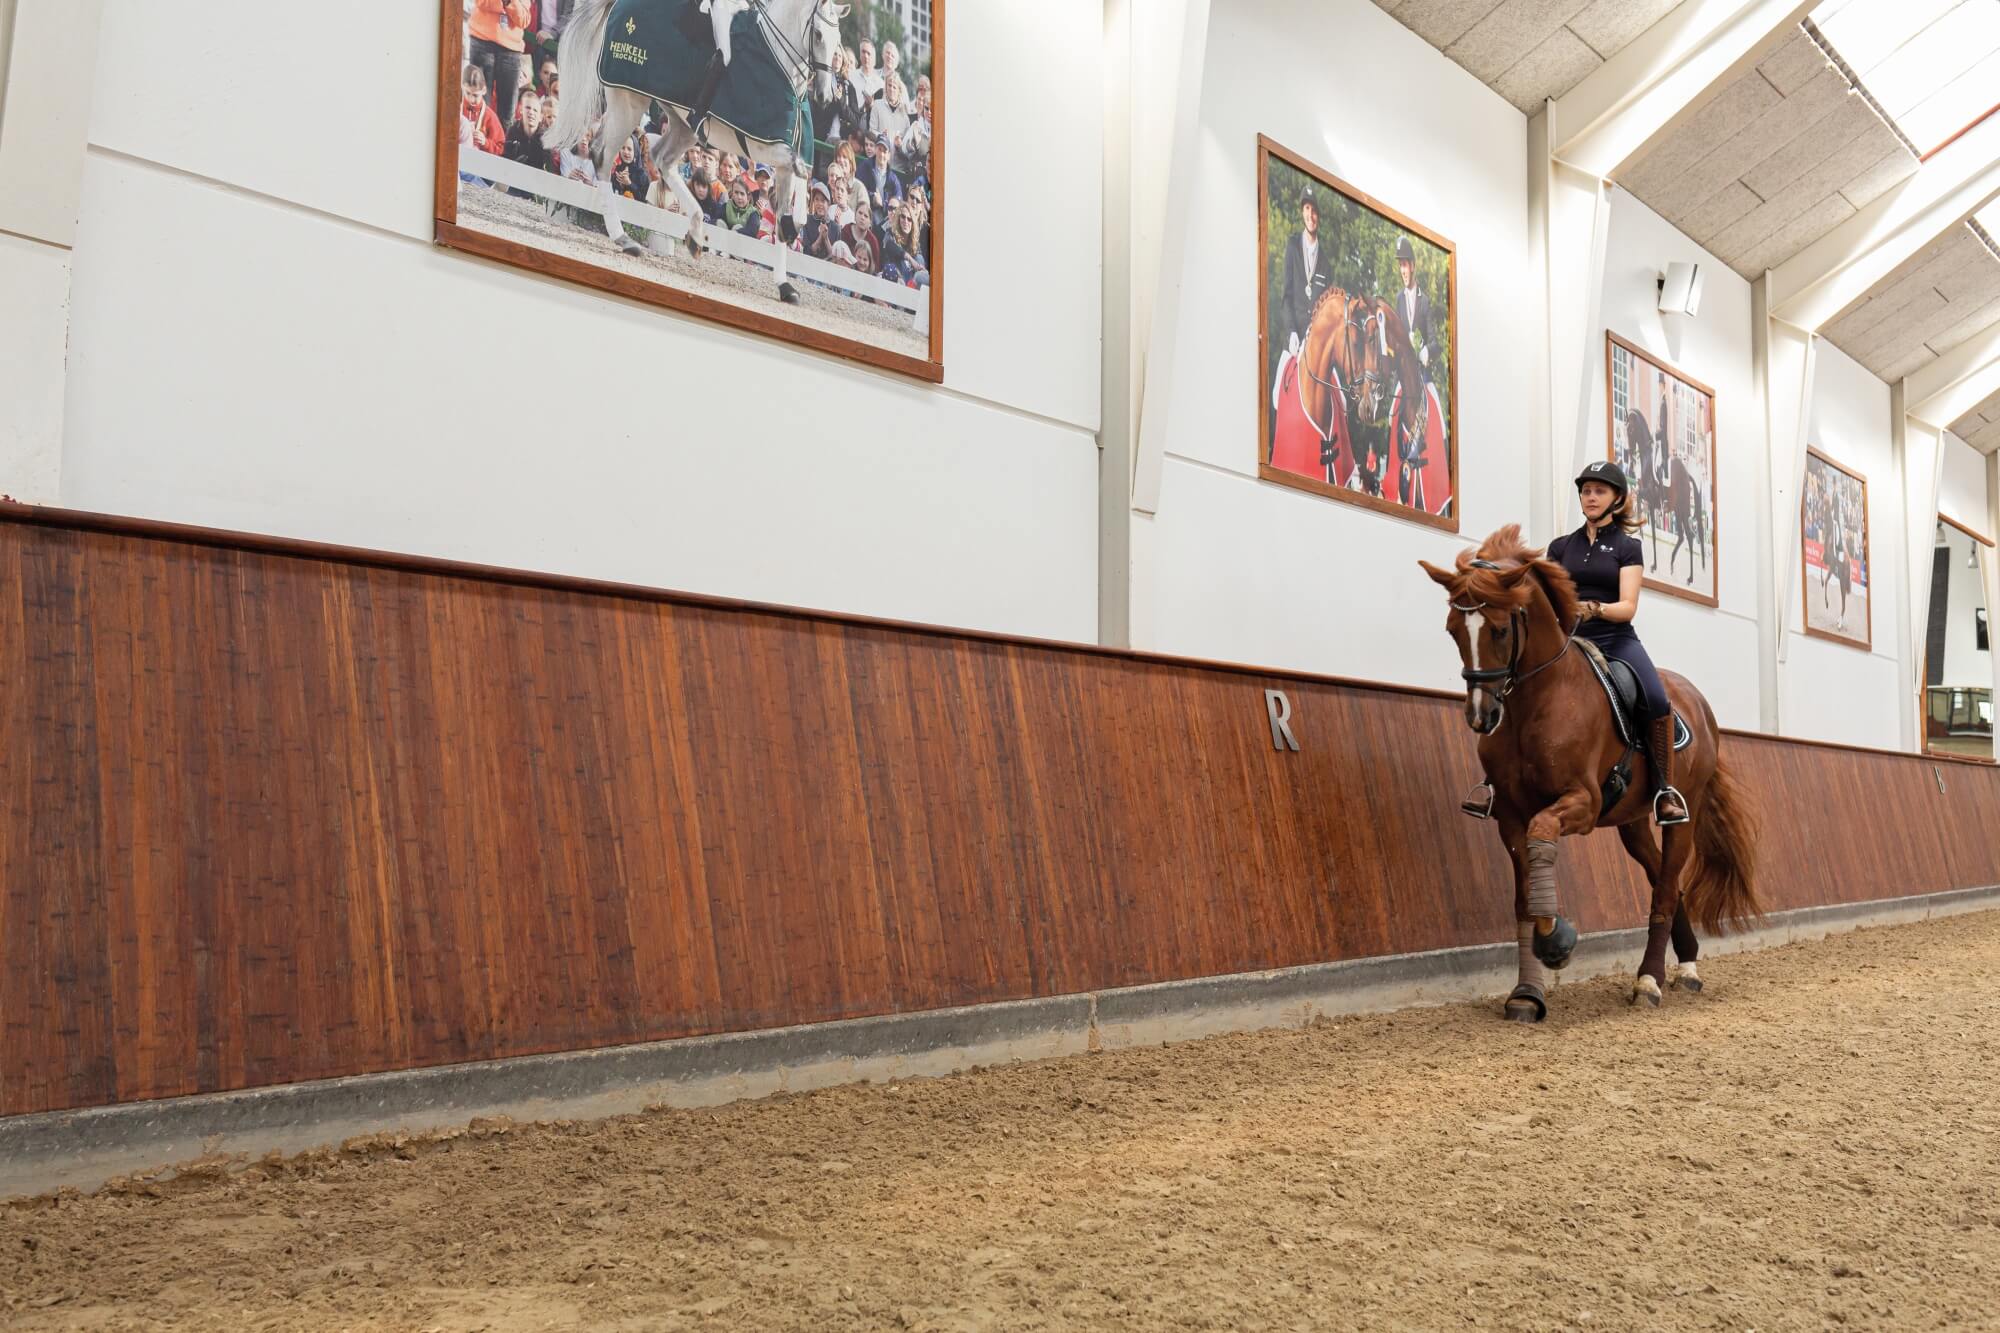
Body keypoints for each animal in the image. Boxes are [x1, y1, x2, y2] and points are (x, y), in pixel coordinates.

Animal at [540, 0, 844, 304]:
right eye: (818, 35)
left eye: (837, 39)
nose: (825, 97)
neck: (779, 62)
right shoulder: (765, 147)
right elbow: (799, 171)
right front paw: (796, 227)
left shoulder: (787, 155)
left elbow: (794, 193)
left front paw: (785, 285)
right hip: (629, 101)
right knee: (603, 156)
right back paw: (624, 239)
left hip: (684, 124)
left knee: (661, 158)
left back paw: (695, 234)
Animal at [1416, 524, 1760, 1012]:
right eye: (1453, 631)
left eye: (1500, 630)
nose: (1481, 717)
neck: (1536, 701)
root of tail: (1698, 703)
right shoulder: (1510, 816)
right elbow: (1523, 899)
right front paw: (1527, 993)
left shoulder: (1580, 801)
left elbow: (1543, 836)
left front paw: (1557, 941)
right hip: (1631, 823)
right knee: (1665, 880)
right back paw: (1687, 966)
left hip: (1682, 815)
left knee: (1665, 885)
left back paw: (1650, 980)